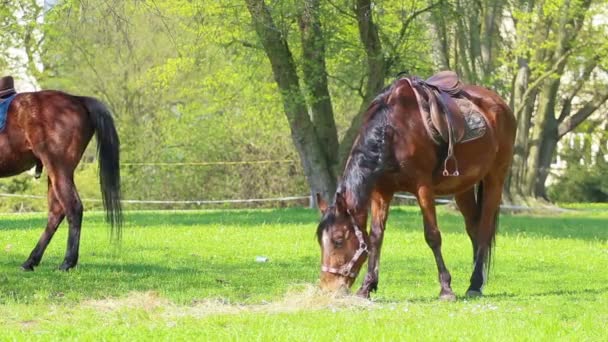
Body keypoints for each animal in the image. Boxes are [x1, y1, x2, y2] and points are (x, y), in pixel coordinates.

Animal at [0, 85, 122, 270]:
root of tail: (78, 99)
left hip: (58, 169)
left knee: (73, 208)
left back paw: (67, 262)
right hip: (56, 173)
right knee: (56, 212)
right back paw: (31, 261)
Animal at [316, 71, 516, 300]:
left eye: (339, 240)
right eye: (320, 240)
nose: (327, 287)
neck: (394, 131)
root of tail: (500, 104)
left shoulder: (423, 188)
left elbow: (433, 236)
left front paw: (446, 288)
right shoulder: (381, 191)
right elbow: (376, 237)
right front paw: (367, 286)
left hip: (495, 179)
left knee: (483, 230)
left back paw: (474, 284)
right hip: (463, 187)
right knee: (473, 228)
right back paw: (477, 281)